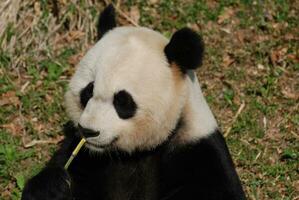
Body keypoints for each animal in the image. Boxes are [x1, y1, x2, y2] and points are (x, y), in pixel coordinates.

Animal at [21, 4, 246, 200]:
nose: (88, 131)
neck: (133, 153)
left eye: (122, 101)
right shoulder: (83, 155)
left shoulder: (199, 148)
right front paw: (52, 186)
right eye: (88, 91)